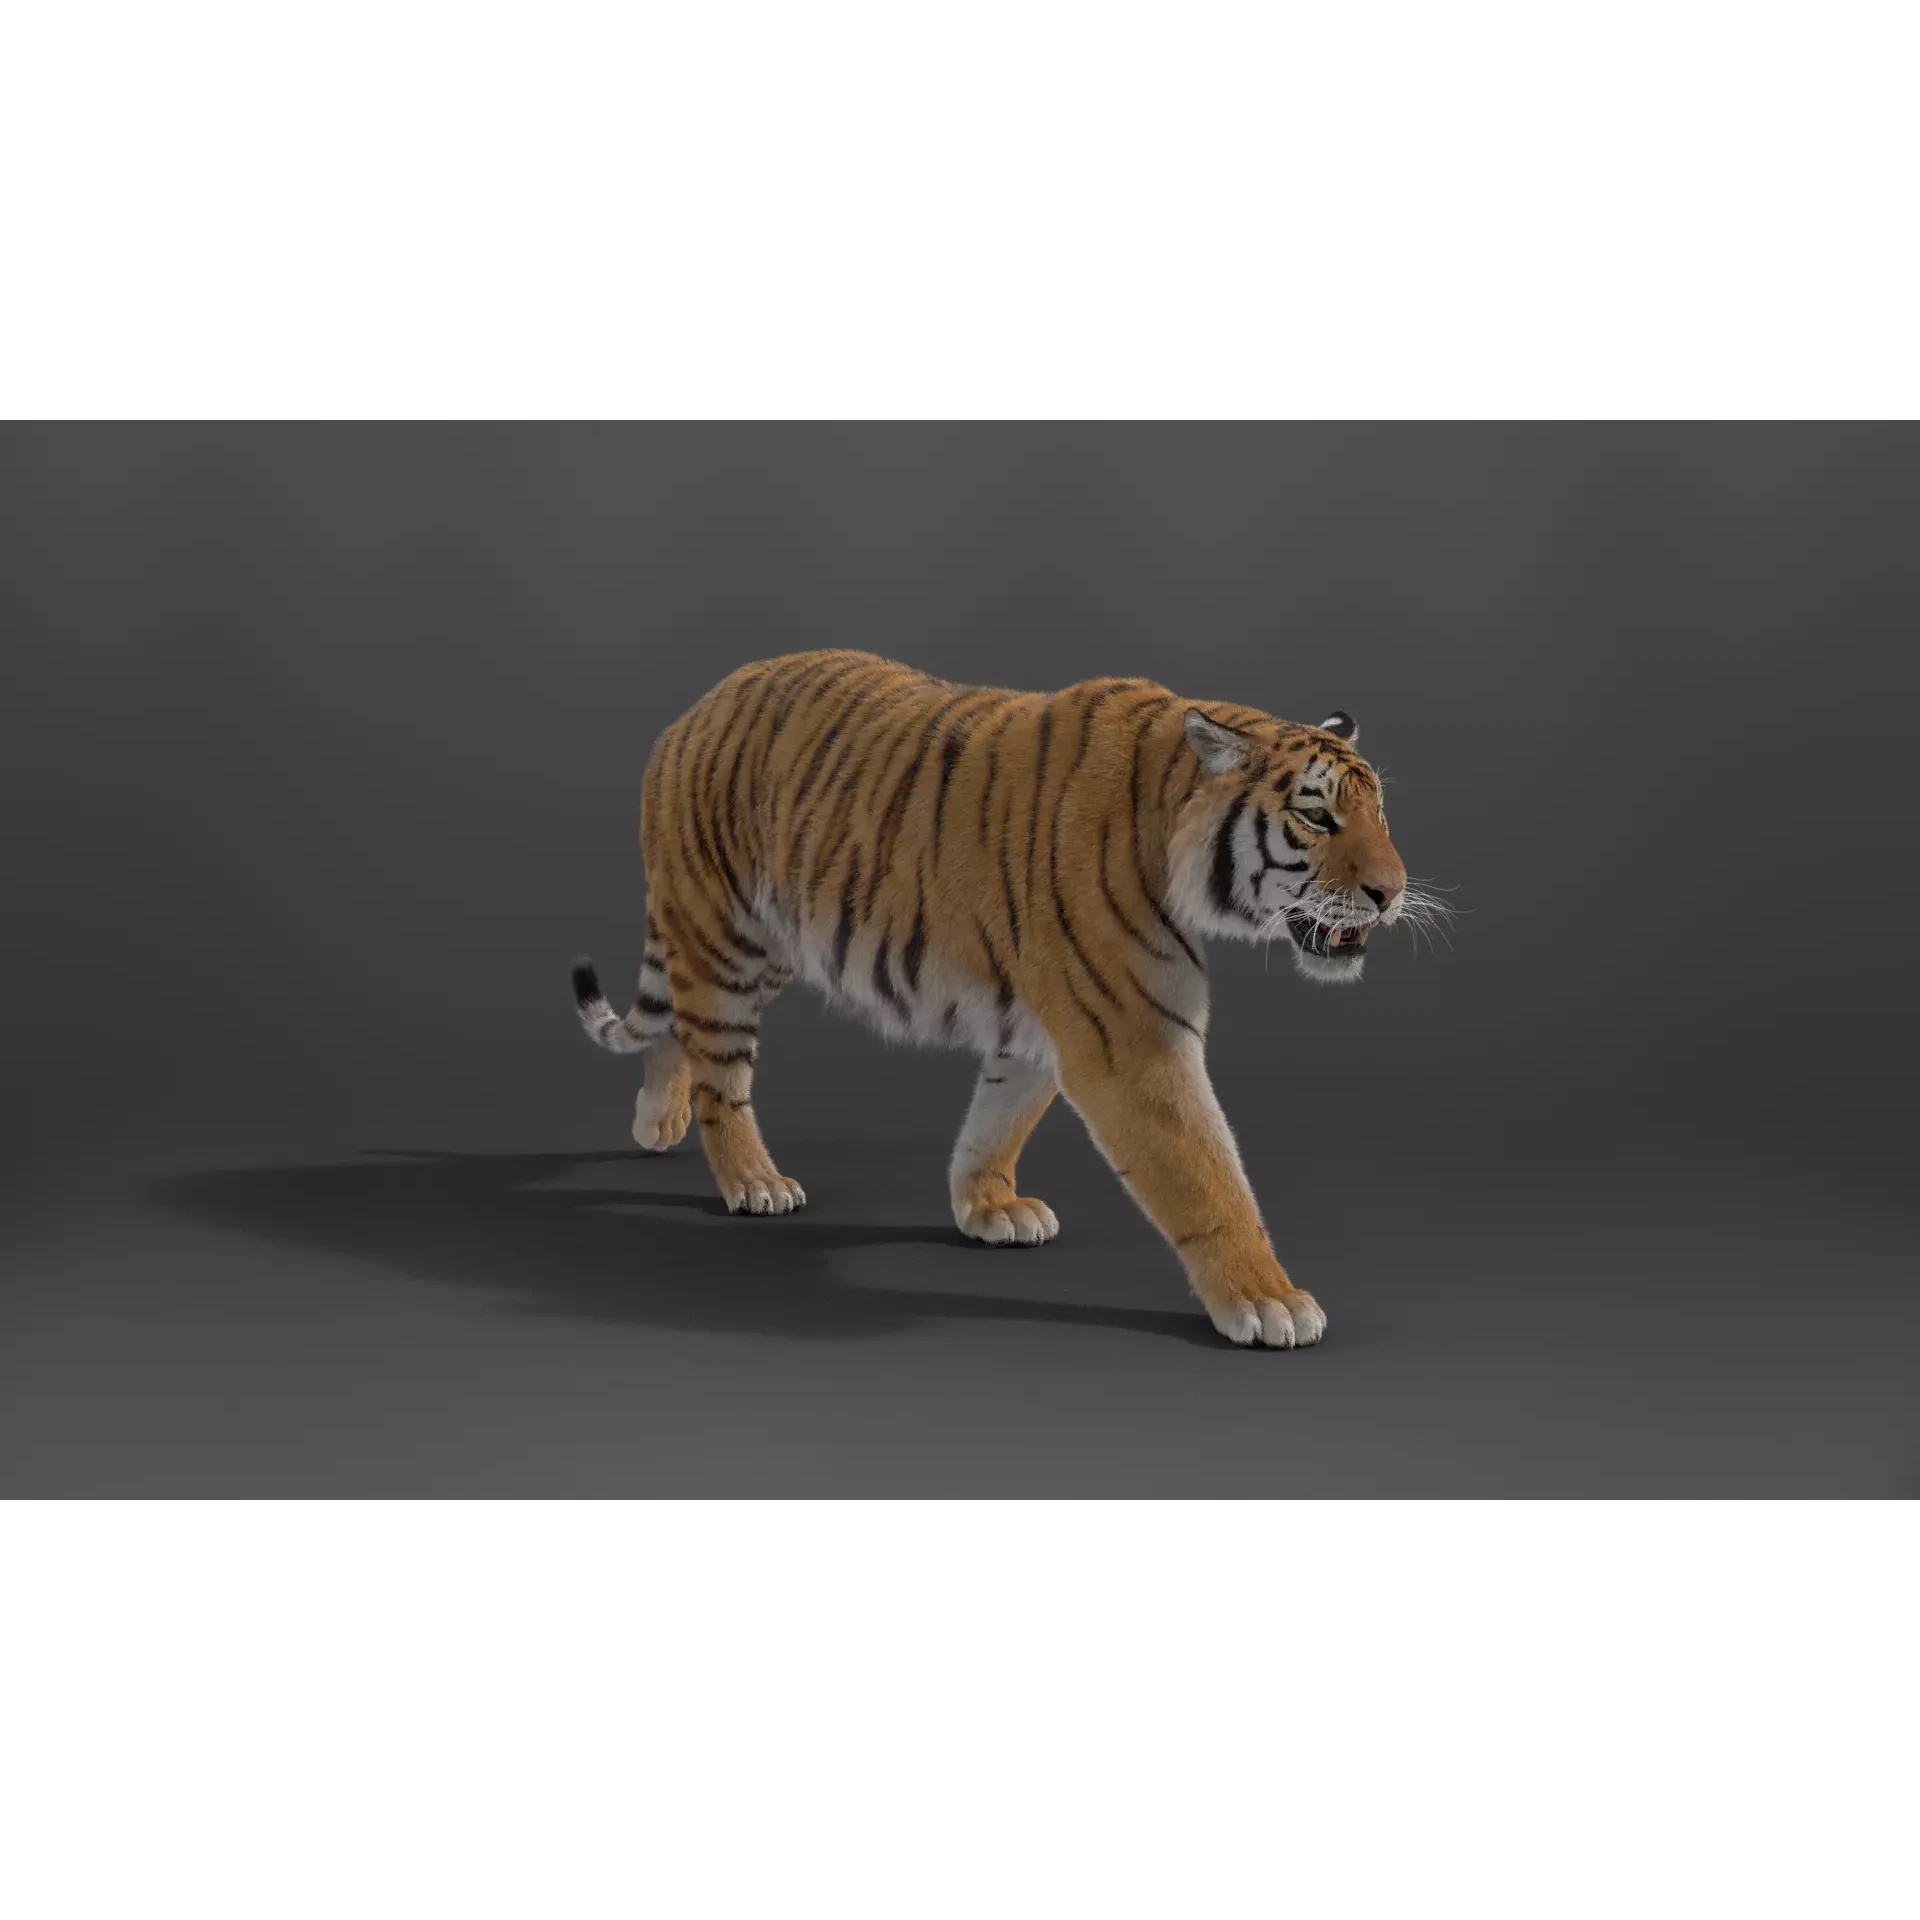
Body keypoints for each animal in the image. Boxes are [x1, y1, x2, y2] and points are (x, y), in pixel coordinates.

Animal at [570, 649, 1423, 1348]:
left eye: (1379, 813)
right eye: (1316, 814)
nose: (1392, 892)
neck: (1166, 819)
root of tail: (691, 710)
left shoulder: (1044, 1024)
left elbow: (997, 1121)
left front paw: (987, 1207)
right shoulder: (1130, 1037)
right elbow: (1205, 1175)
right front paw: (1268, 1301)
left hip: (756, 944)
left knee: (678, 1029)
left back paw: (657, 1122)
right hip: (727, 935)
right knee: (722, 1074)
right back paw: (753, 1181)